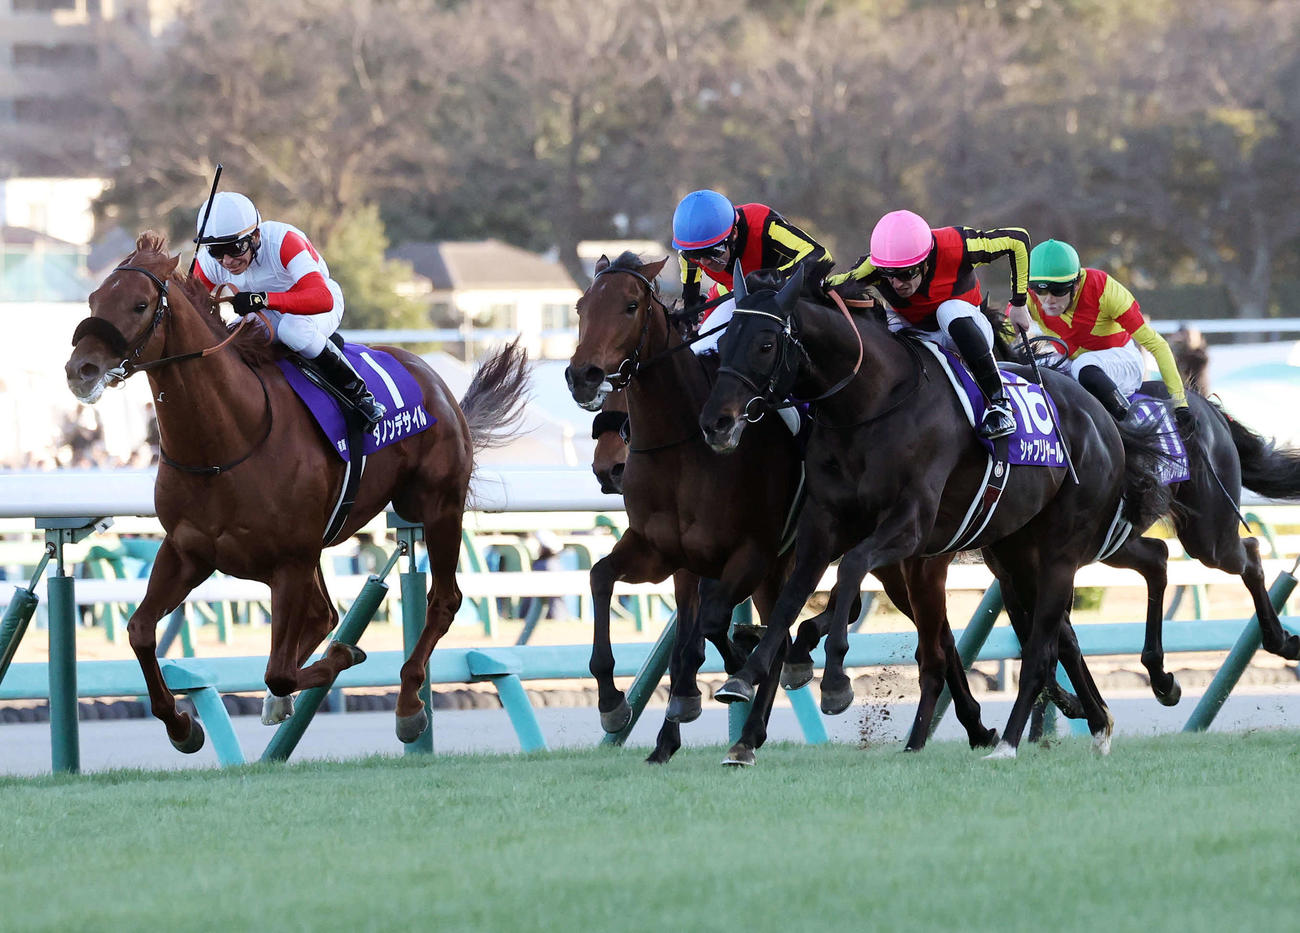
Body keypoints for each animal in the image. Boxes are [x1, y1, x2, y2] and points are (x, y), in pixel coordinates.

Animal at [64, 232, 530, 754]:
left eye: (140, 305)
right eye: (93, 299)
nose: (80, 369)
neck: (229, 439)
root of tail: (435, 381)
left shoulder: (289, 562)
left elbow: (282, 671)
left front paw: (345, 657)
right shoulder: (188, 551)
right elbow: (141, 631)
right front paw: (182, 725)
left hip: (436, 507)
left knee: (442, 600)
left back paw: (409, 704)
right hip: (320, 548)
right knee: (323, 616)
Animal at [699, 268, 1175, 757]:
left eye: (765, 344)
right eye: (723, 339)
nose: (716, 422)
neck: (871, 403)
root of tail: (1102, 415)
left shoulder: (908, 525)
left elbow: (850, 570)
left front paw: (834, 682)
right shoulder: (823, 524)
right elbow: (790, 599)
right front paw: (745, 675)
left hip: (1061, 550)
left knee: (1044, 647)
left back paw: (1013, 741)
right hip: (1016, 554)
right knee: (1062, 638)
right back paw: (1097, 722)